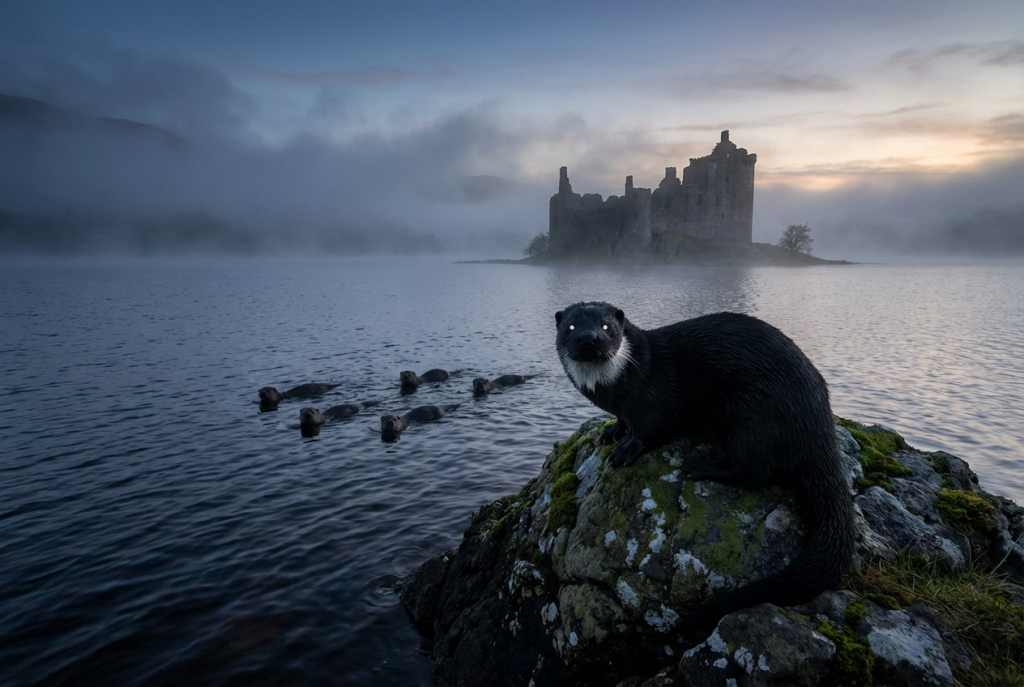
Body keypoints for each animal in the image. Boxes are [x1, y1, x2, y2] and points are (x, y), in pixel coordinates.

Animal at [554, 301, 856, 633]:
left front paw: (626, 450)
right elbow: (623, 421)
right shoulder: (623, 408)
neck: (613, 390)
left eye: (607, 327)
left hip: (751, 412)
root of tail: (818, 419)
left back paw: (701, 466)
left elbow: (651, 430)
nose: (588, 337)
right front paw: (612, 432)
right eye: (571, 327)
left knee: (753, 469)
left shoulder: (651, 401)